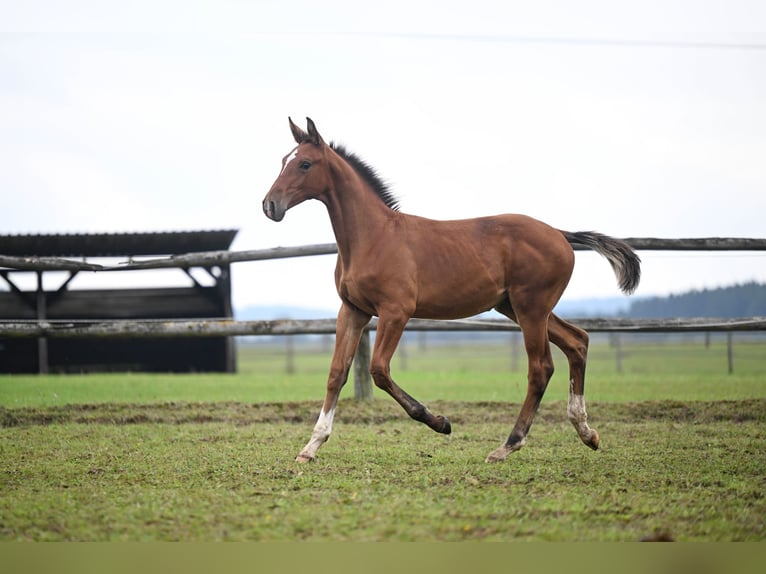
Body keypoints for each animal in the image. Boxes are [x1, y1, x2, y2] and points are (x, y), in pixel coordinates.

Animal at [263, 117, 641, 463]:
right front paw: (310, 447)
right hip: (517, 307)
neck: (373, 237)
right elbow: (337, 373)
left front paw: (440, 422)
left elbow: (379, 370)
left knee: (541, 367)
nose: (270, 206)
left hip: (531, 307)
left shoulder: (396, 311)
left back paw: (508, 444)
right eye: (283, 160)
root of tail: (561, 234)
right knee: (578, 341)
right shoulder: (353, 310)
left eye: (305, 163)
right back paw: (586, 432)